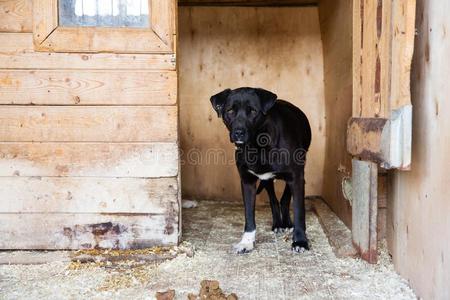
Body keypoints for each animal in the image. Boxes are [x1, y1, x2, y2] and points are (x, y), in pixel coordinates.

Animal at [210, 87, 310, 253]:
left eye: (253, 111)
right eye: (230, 111)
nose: (238, 132)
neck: (258, 145)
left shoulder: (296, 178)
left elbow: (299, 212)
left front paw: (300, 241)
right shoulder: (247, 181)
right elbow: (249, 215)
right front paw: (247, 242)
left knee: (285, 199)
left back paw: (287, 224)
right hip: (267, 179)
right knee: (273, 200)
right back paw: (278, 224)